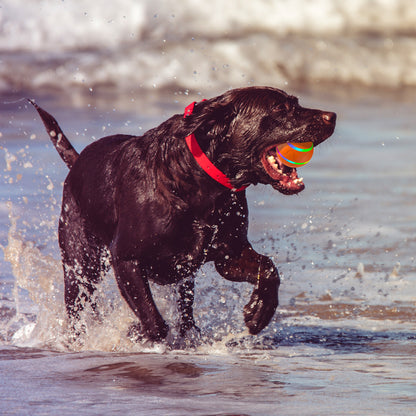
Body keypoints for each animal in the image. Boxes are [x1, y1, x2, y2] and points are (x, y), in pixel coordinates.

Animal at [31, 87, 338, 342]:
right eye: (279, 109)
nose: (333, 115)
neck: (200, 180)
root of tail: (77, 161)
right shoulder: (126, 258)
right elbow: (153, 321)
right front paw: (136, 332)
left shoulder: (229, 254)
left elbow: (268, 268)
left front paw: (259, 311)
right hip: (80, 262)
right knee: (77, 306)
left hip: (183, 278)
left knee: (186, 308)